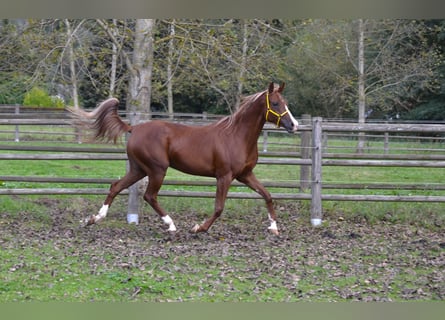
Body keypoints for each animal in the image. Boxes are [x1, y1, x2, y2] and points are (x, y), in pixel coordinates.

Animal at [69, 82, 298, 235]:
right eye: (275, 103)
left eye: (285, 102)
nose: (294, 125)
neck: (237, 136)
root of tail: (133, 128)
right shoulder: (224, 176)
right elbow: (219, 208)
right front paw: (198, 228)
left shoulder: (245, 175)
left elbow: (267, 195)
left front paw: (274, 227)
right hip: (157, 170)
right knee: (149, 196)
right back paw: (171, 225)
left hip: (138, 169)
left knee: (116, 186)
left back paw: (93, 219)